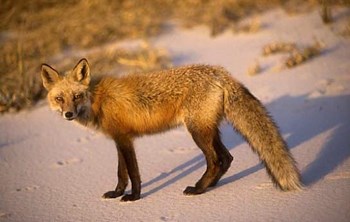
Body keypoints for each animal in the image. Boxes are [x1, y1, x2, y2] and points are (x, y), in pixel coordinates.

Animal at [41, 58, 302, 201]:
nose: (68, 114)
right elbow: (121, 173)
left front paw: (134, 197)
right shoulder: (118, 139)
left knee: (215, 160)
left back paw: (197, 189)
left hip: (197, 132)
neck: (98, 99)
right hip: (208, 129)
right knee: (227, 158)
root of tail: (219, 72)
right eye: (59, 98)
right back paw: (208, 186)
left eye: (77, 96)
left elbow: (133, 173)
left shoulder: (125, 139)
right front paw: (116, 193)